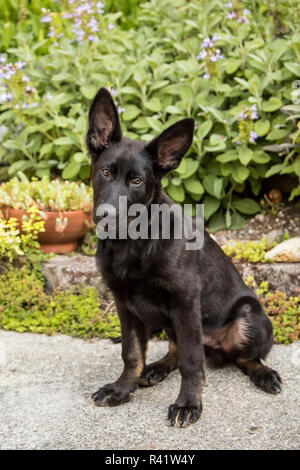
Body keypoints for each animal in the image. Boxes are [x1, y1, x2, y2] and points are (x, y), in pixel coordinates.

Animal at [86, 89, 282, 430]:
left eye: (137, 181)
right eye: (106, 172)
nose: (106, 216)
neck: (133, 243)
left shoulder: (186, 301)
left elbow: (192, 362)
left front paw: (188, 403)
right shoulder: (124, 303)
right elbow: (132, 353)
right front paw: (123, 388)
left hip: (247, 317)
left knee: (243, 358)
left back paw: (264, 374)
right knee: (176, 349)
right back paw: (157, 368)